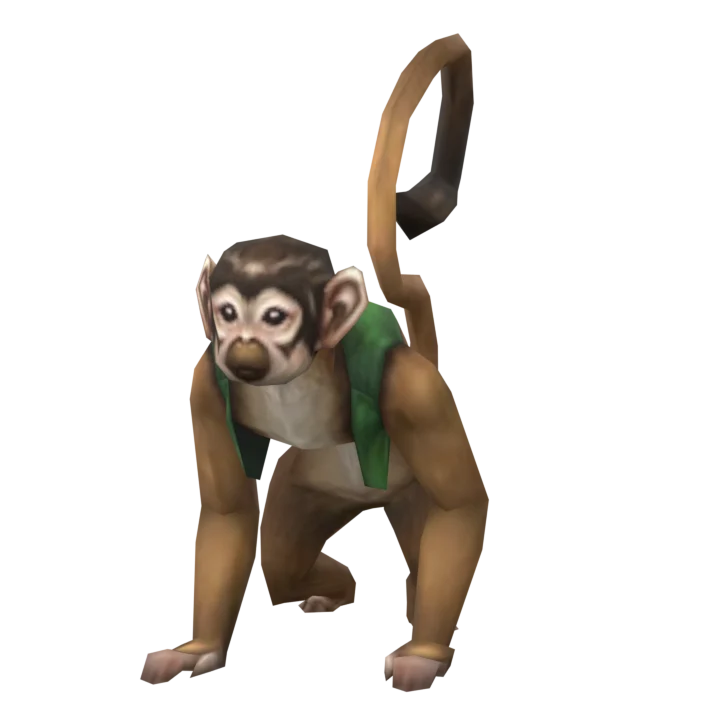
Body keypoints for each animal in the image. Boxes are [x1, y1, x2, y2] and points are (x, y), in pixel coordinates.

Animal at [141, 33, 485, 694]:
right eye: (226, 313)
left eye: (275, 317)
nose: (243, 349)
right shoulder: (205, 383)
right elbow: (228, 512)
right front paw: (201, 646)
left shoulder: (413, 393)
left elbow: (460, 507)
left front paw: (425, 654)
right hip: (309, 482)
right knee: (283, 563)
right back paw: (334, 589)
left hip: (406, 480)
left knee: (426, 537)